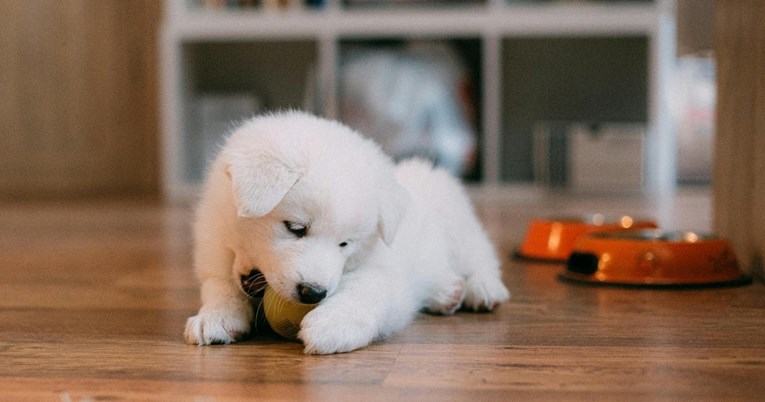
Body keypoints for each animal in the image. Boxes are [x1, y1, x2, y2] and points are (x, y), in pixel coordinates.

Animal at [184, 111, 508, 354]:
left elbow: (367, 290)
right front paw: (215, 316)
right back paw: (445, 292)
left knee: (482, 258)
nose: (313, 293)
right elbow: (219, 287)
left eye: (344, 243)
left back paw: (482, 289)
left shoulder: (385, 273)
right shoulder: (214, 252)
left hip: (459, 229)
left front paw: (333, 325)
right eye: (296, 228)